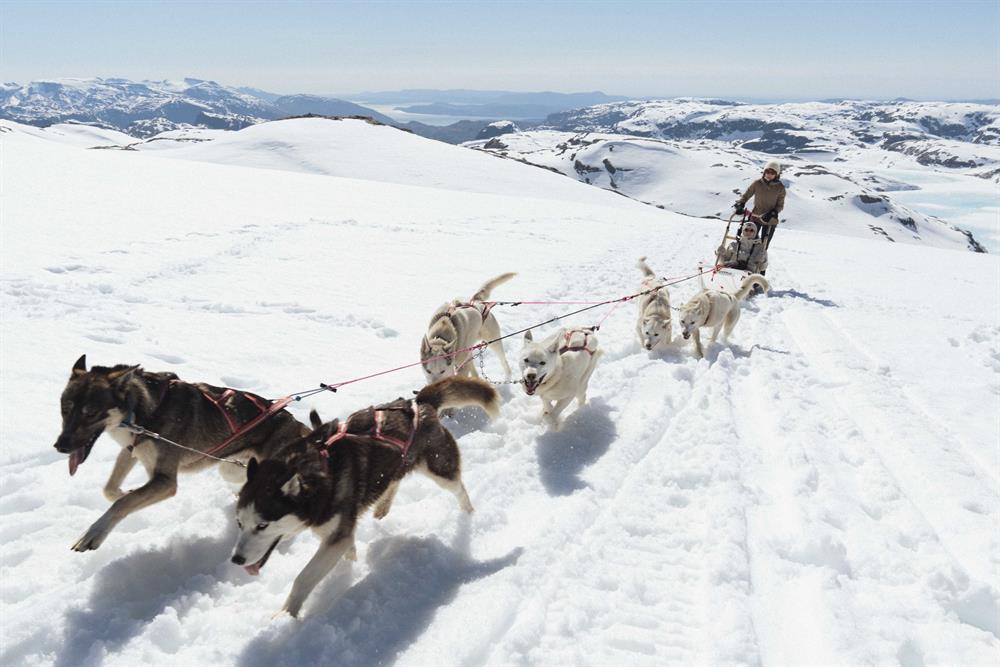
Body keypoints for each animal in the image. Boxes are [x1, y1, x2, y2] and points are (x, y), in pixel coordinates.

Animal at [53, 355, 309, 552]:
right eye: (64, 410)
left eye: (90, 413)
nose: (60, 445)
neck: (144, 411)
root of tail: (297, 425)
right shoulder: (133, 451)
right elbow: (111, 491)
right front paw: (127, 491)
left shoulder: (166, 481)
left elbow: (121, 503)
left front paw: (93, 533)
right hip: (230, 468)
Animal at [229, 375, 499, 618]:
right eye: (239, 523)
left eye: (262, 525)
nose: (236, 559)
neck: (317, 473)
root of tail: (419, 404)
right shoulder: (337, 533)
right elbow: (349, 550)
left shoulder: (336, 537)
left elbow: (304, 578)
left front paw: (286, 615)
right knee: (394, 480)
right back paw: (382, 506)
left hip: (440, 469)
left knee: (459, 489)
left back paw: (469, 515)